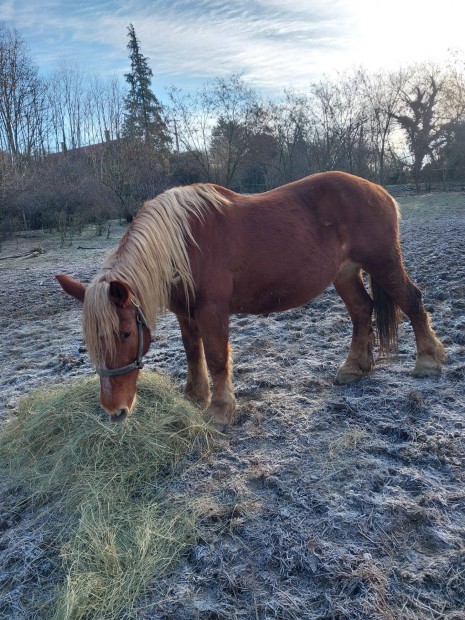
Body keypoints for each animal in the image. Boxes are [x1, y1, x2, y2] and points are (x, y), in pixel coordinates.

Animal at [55, 172, 446, 428]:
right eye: (91, 343)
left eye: (124, 334)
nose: (114, 411)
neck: (182, 243)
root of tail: (379, 190)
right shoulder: (186, 314)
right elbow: (193, 354)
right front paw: (194, 397)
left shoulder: (212, 311)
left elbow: (215, 358)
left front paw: (219, 410)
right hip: (345, 273)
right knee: (362, 312)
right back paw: (354, 367)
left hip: (383, 262)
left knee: (412, 301)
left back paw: (428, 360)